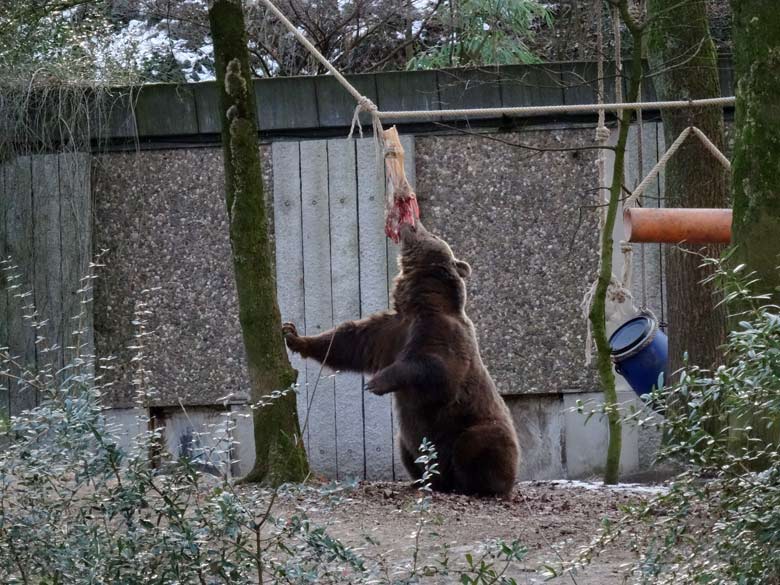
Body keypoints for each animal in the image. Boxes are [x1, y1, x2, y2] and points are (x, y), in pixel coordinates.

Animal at [280, 221, 516, 496]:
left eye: (431, 233)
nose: (411, 223)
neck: (419, 304)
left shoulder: (442, 335)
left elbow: (436, 369)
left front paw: (376, 383)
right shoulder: (390, 332)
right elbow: (348, 341)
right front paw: (293, 334)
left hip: (474, 424)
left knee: (477, 443)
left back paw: (479, 485)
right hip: (410, 442)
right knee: (407, 449)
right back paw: (424, 482)